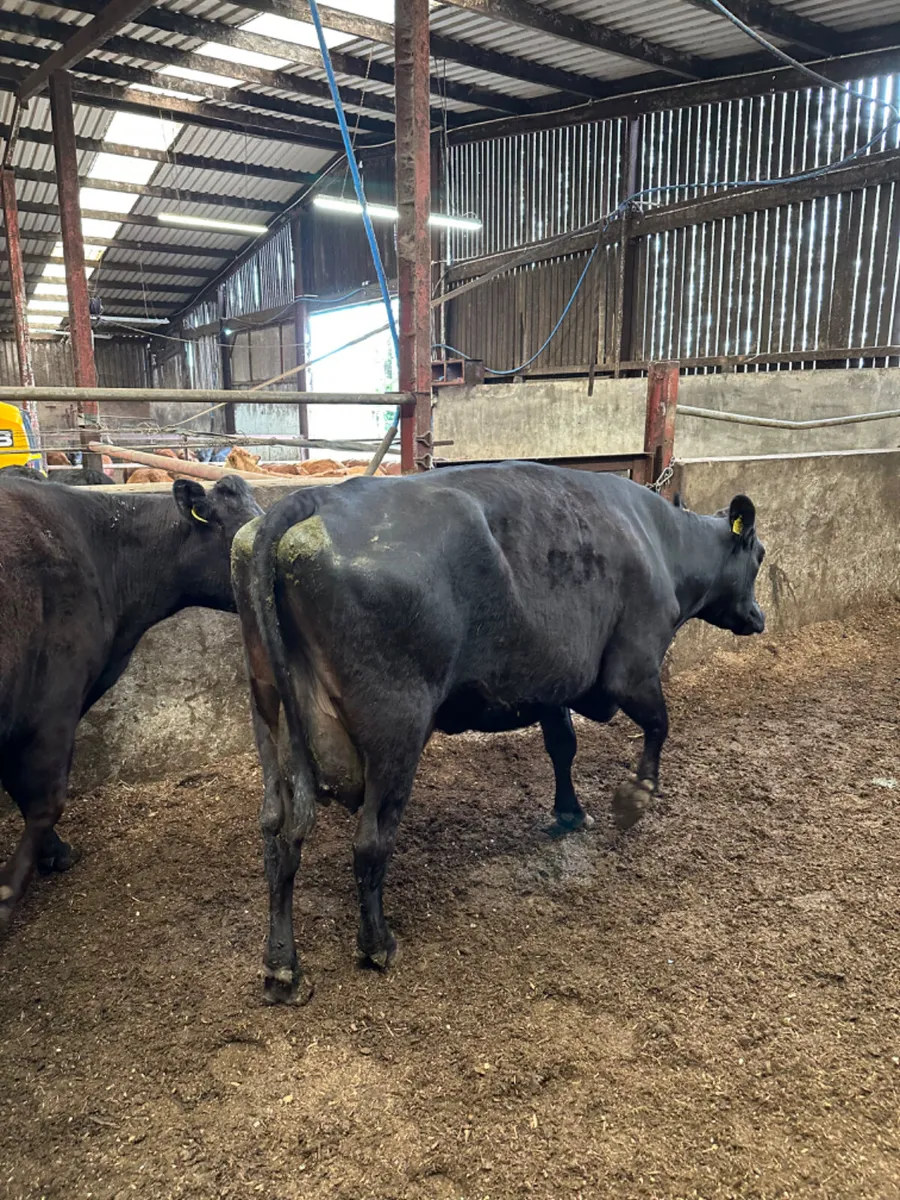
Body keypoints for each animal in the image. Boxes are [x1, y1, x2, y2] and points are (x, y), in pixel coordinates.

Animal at [231, 462, 766, 1004]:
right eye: (760, 557)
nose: (758, 617)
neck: (663, 540)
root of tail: (314, 499)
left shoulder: (551, 684)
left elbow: (562, 746)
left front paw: (570, 812)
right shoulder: (632, 668)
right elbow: (659, 723)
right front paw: (636, 796)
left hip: (269, 712)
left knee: (278, 835)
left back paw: (282, 968)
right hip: (396, 727)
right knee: (369, 843)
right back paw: (377, 944)